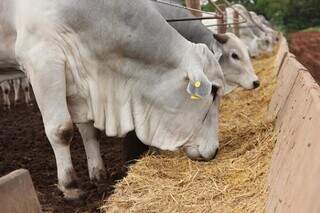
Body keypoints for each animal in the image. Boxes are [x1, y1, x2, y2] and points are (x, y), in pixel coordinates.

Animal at [0, 0, 225, 200]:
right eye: (213, 90)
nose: (215, 151)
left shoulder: (78, 76)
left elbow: (89, 131)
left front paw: (98, 174)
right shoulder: (41, 58)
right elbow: (61, 130)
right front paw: (71, 187)